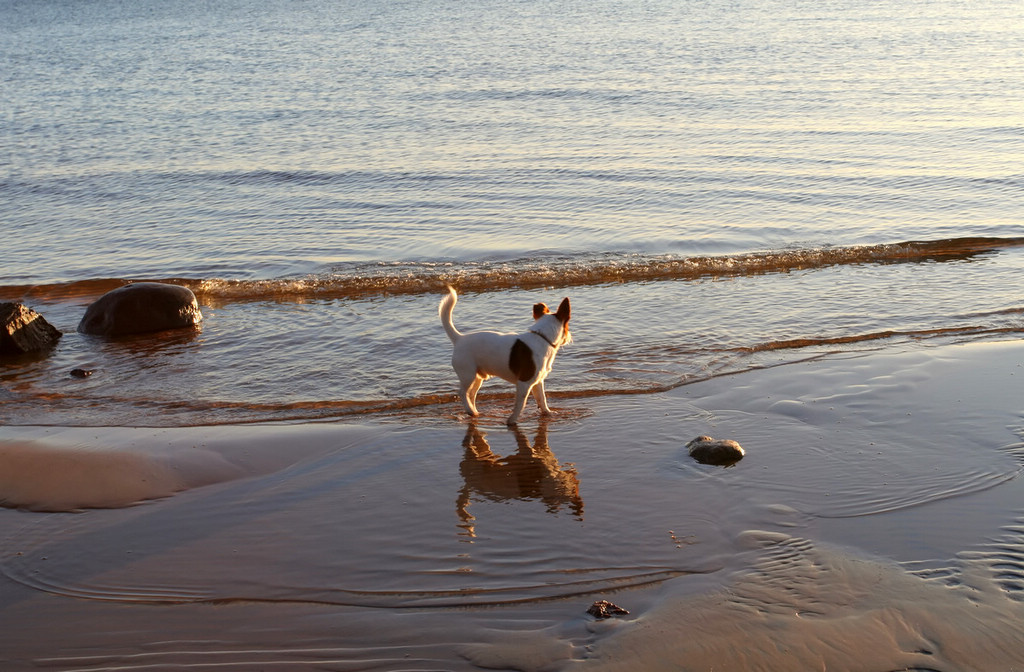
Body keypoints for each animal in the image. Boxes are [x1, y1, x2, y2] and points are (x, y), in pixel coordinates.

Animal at [438, 286, 573, 426]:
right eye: (568, 326)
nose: (570, 337)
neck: (542, 337)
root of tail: (459, 338)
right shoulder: (524, 383)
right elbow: (521, 404)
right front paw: (512, 420)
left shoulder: (538, 381)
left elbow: (542, 399)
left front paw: (548, 413)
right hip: (468, 375)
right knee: (462, 392)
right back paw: (470, 410)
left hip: (477, 377)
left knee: (471, 394)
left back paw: (473, 411)